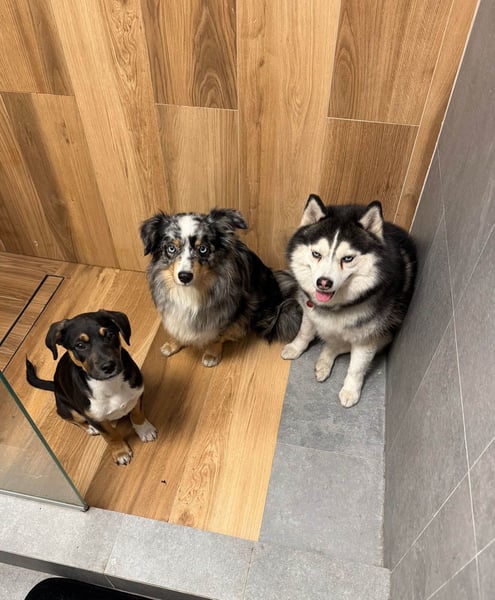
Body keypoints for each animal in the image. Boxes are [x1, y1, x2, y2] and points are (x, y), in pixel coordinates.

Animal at [26, 309, 157, 465]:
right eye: (80, 345)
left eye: (110, 335)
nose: (108, 366)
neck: (110, 384)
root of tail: (55, 385)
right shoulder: (96, 418)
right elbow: (111, 436)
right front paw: (121, 452)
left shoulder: (137, 394)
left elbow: (137, 414)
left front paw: (145, 431)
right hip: (67, 409)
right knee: (71, 418)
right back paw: (90, 428)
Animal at [140, 208, 302, 367]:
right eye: (171, 248)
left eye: (203, 249)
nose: (185, 276)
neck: (190, 291)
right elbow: (177, 325)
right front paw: (173, 344)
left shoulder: (228, 310)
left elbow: (218, 335)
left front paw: (211, 354)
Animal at [282, 195, 416, 407]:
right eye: (316, 254)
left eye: (347, 258)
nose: (324, 282)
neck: (337, 306)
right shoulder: (310, 311)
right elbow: (304, 332)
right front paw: (295, 347)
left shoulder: (368, 336)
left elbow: (357, 367)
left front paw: (351, 390)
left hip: (387, 334)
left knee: (340, 345)